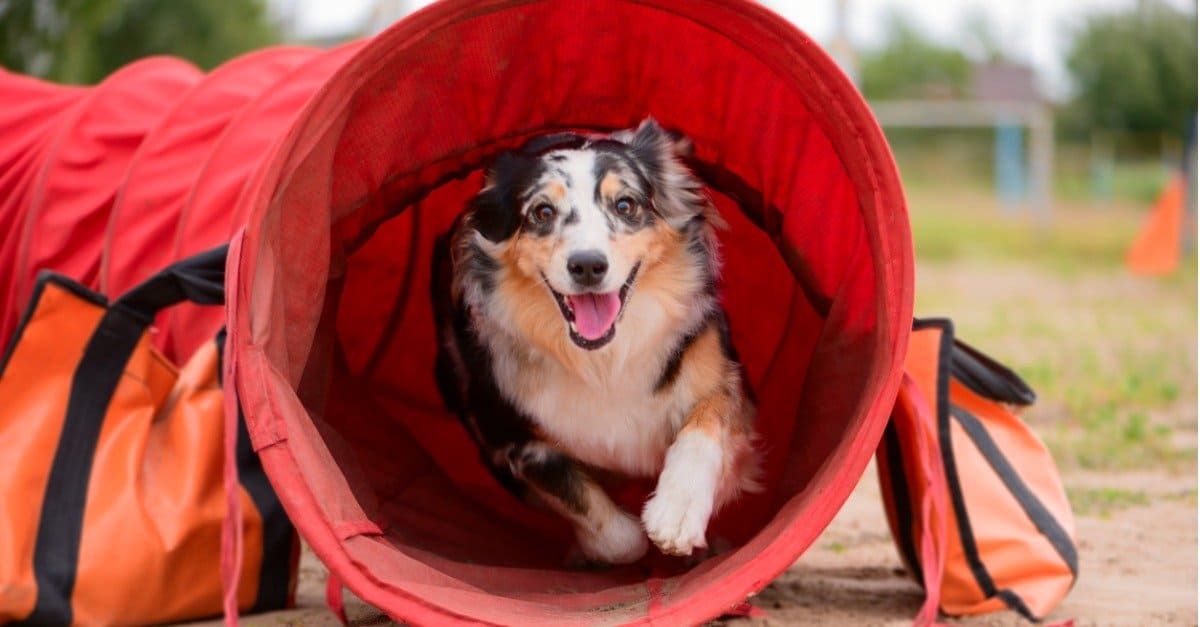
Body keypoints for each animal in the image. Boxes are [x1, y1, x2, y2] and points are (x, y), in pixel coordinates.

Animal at [432, 117, 758, 562]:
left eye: (625, 205)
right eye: (542, 212)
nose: (587, 265)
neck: (603, 359)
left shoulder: (722, 373)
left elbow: (706, 423)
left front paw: (677, 512)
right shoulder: (507, 437)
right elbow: (612, 530)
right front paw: (607, 545)